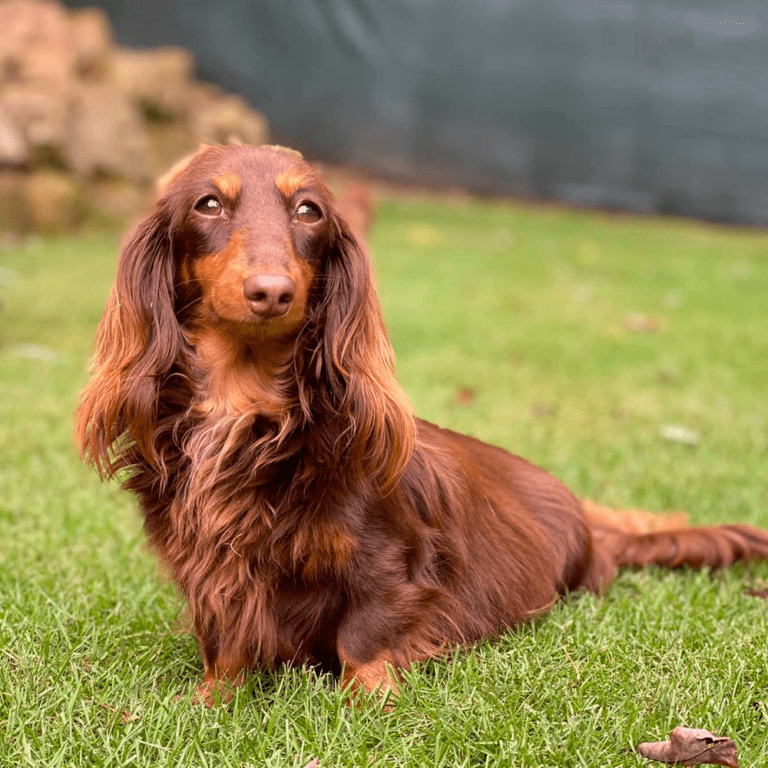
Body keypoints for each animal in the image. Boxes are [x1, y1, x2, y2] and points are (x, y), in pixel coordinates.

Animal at [76, 144, 768, 704]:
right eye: (209, 204)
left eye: (309, 211)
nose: (270, 291)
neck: (247, 410)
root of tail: (590, 525)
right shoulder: (214, 571)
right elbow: (227, 640)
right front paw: (211, 697)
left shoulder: (390, 563)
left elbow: (364, 636)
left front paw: (366, 701)